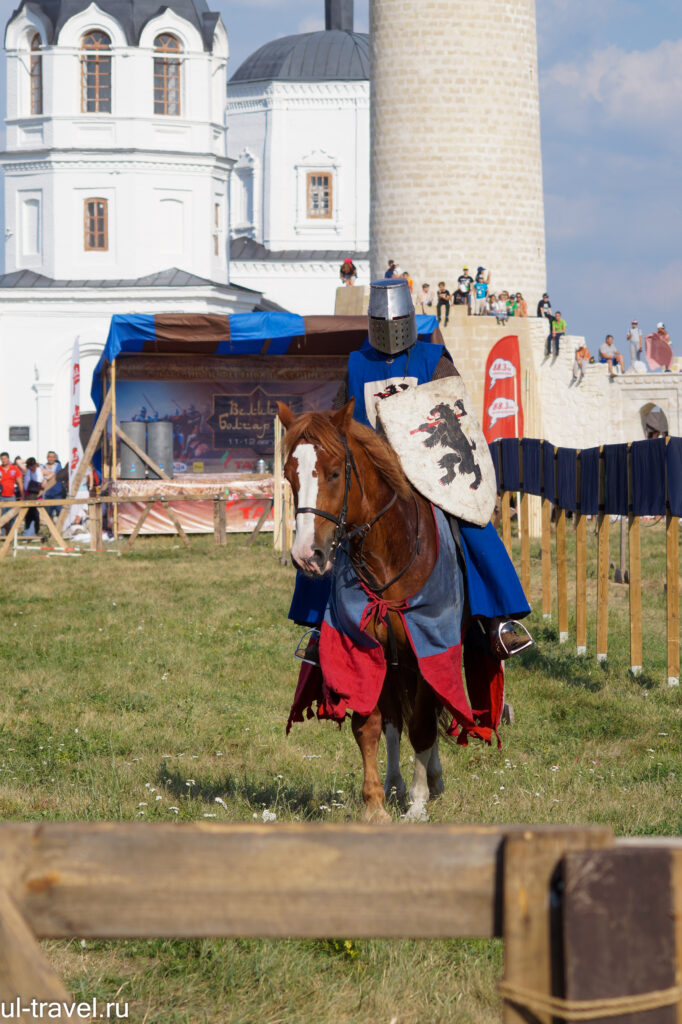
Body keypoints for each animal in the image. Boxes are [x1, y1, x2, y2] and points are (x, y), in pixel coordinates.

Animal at [276, 399, 489, 823]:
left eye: (335, 472)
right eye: (291, 476)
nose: (307, 556)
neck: (389, 559)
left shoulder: (428, 650)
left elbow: (423, 725)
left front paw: (418, 804)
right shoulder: (365, 652)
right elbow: (371, 725)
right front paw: (375, 805)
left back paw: (429, 781)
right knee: (394, 721)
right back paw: (395, 784)